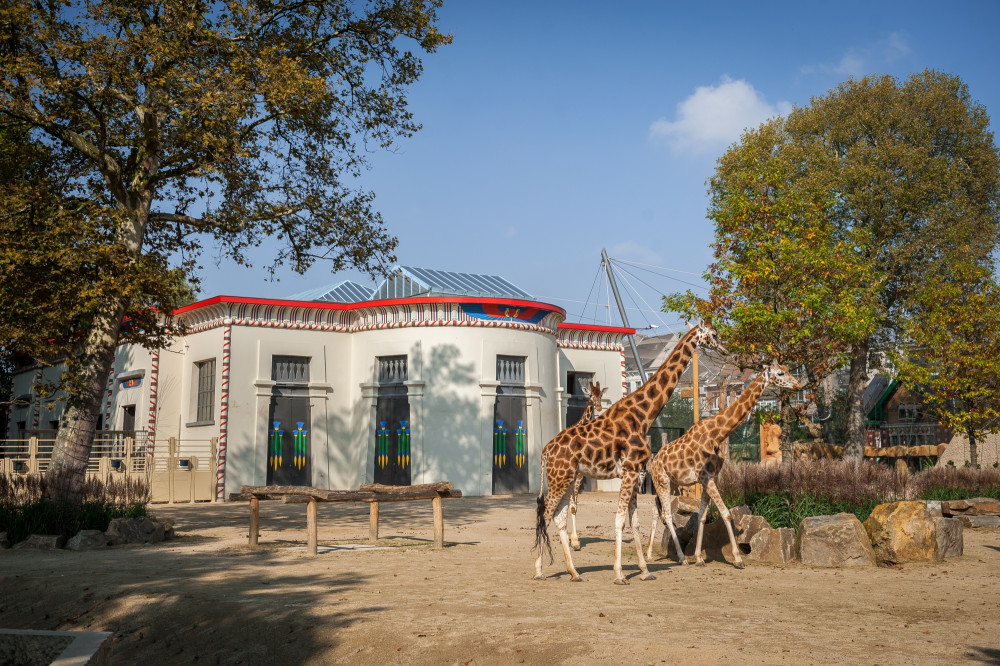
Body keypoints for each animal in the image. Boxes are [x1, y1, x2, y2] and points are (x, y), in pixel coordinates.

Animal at [532, 322, 728, 580]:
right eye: (714, 334)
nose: (725, 350)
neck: (643, 416)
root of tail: (546, 449)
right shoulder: (630, 470)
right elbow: (619, 521)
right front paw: (620, 574)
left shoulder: (635, 473)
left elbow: (633, 522)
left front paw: (644, 571)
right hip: (559, 478)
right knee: (546, 514)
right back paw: (539, 570)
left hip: (567, 478)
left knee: (559, 516)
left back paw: (574, 571)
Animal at [644, 360, 800, 568]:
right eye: (780, 373)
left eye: (789, 370)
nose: (798, 385)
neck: (717, 434)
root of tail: (653, 462)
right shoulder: (706, 478)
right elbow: (726, 514)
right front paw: (738, 559)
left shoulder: (710, 477)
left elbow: (702, 517)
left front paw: (699, 558)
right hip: (662, 481)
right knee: (667, 514)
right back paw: (682, 558)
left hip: (673, 483)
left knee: (656, 508)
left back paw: (650, 554)